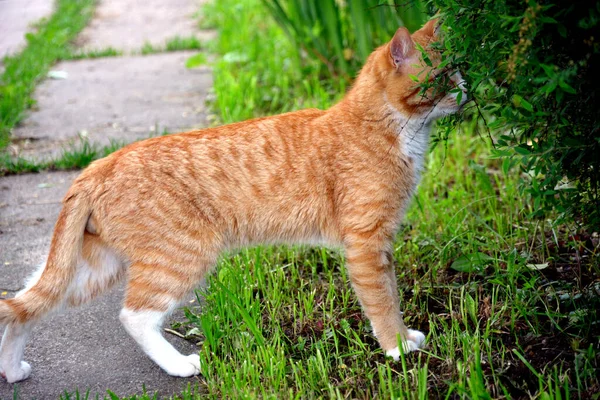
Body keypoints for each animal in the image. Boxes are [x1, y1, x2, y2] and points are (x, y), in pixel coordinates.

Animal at [0, 20, 466, 382]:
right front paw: (397, 348)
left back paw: (13, 369)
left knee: (24, 304)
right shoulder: (367, 244)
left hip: (94, 267)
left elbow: (391, 294)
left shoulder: (380, 245)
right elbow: (382, 301)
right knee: (134, 316)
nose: (465, 90)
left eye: (458, 71)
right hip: (181, 255)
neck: (387, 129)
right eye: (442, 77)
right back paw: (179, 365)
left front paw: (405, 338)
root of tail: (101, 162)